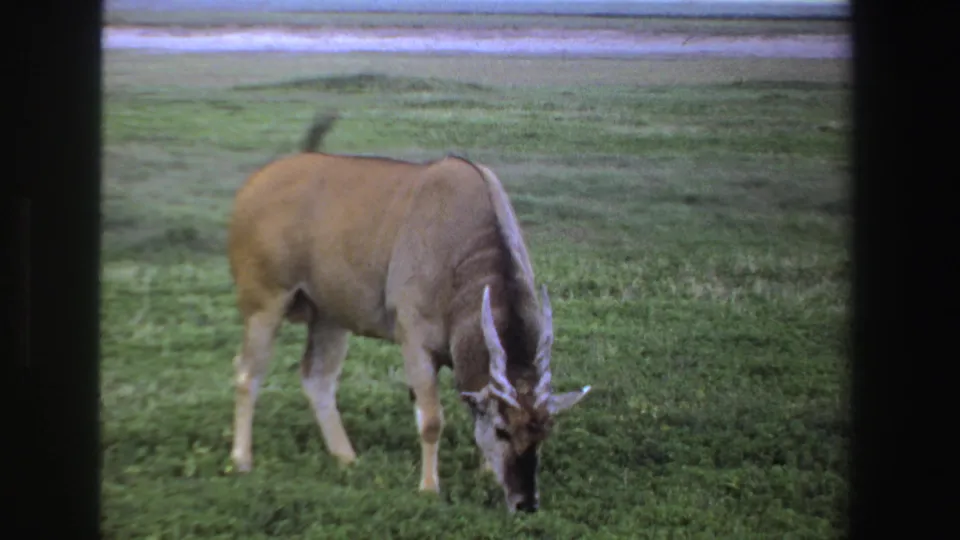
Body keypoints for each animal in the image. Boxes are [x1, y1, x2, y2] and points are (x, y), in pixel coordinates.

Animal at [227, 114, 591, 512]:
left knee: (316, 378)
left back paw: (347, 458)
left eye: (545, 430)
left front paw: (483, 472)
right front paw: (429, 488)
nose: (526, 503)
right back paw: (242, 460)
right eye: (502, 430)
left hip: (330, 317)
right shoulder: (414, 341)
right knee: (247, 374)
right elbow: (431, 420)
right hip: (265, 303)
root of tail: (253, 185)